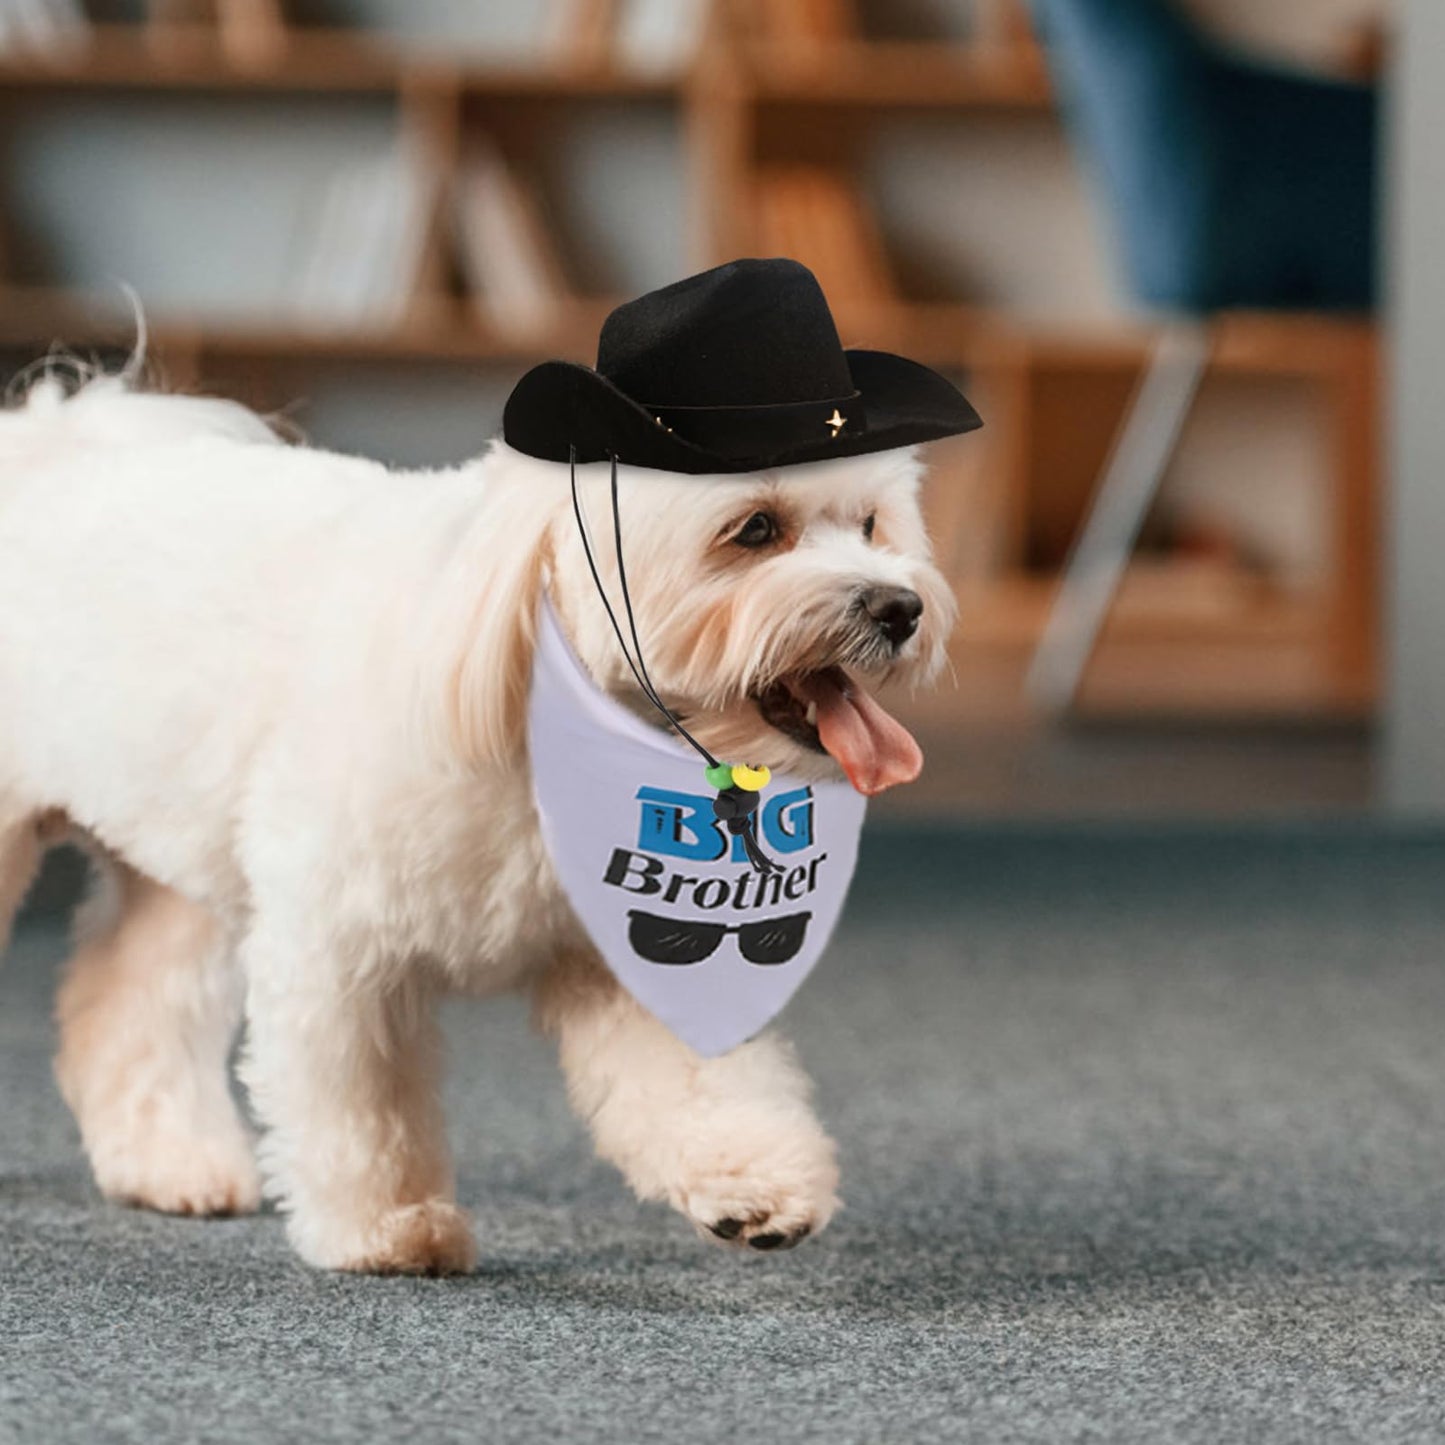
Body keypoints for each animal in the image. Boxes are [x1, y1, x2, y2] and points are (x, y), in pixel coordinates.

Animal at [0, 367, 959, 1271]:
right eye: (755, 528)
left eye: (870, 524)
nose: (899, 607)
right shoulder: (337, 945)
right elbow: (362, 1101)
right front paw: (386, 1225)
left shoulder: (629, 941)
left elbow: (695, 1076)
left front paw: (751, 1180)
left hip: (181, 861)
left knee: (123, 998)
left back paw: (170, 1166)